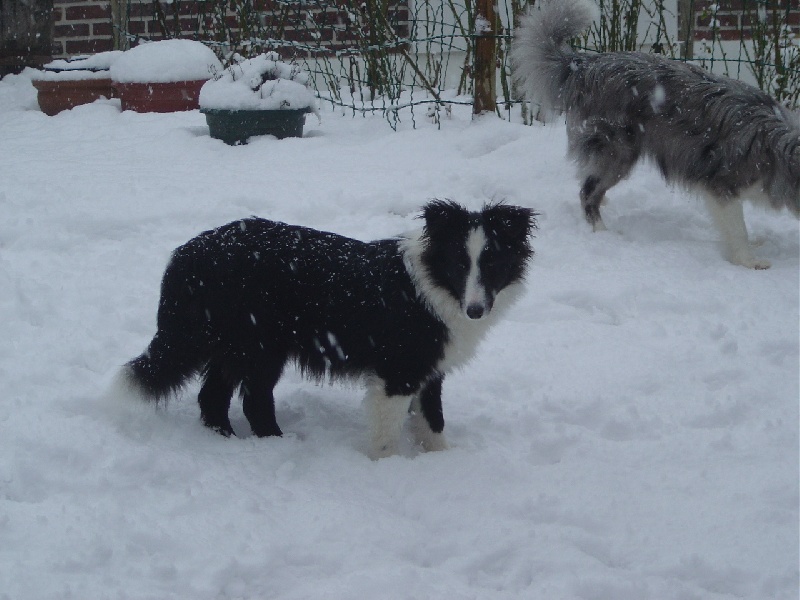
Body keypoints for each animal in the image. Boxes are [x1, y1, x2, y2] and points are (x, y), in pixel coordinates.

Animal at [122, 202, 536, 460]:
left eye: (493, 264)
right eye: (459, 264)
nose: (475, 310)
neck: (434, 285)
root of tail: (188, 254)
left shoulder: (429, 368)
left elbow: (432, 419)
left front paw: (441, 460)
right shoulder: (398, 371)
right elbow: (389, 430)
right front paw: (388, 467)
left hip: (233, 346)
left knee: (211, 398)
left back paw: (224, 440)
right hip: (259, 345)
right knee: (253, 400)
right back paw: (278, 444)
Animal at [512, 0, 800, 270]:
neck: (779, 150)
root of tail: (583, 65)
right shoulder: (723, 186)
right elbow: (738, 230)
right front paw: (749, 261)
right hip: (618, 153)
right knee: (587, 193)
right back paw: (603, 233)